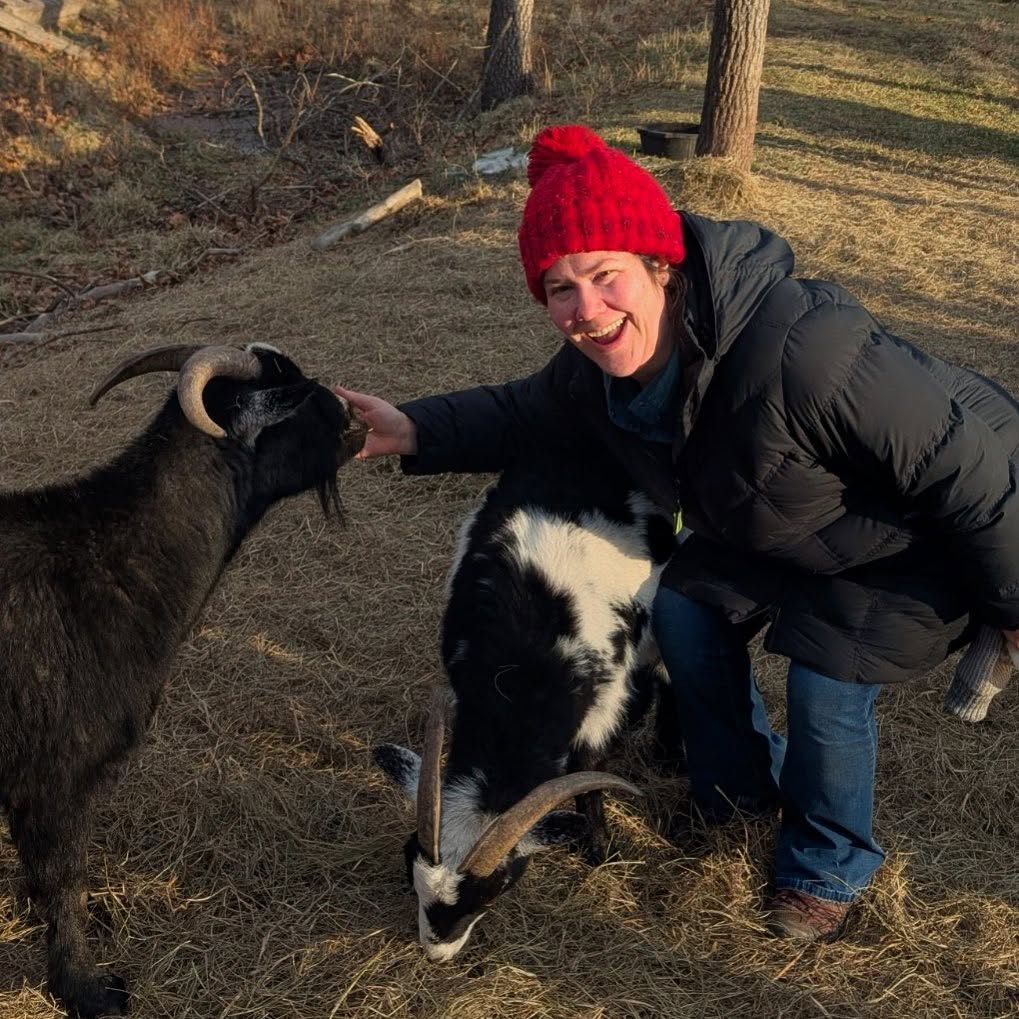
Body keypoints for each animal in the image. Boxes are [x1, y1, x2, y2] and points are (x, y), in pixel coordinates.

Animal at [0, 343, 366, 1018]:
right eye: (302, 399)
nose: (355, 416)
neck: (112, 561)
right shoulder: (53, 778)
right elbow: (62, 882)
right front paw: (86, 990)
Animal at [374, 450, 682, 962]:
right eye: (406, 860)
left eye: (498, 887)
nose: (438, 953)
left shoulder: (603, 692)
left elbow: (588, 764)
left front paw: (599, 847)